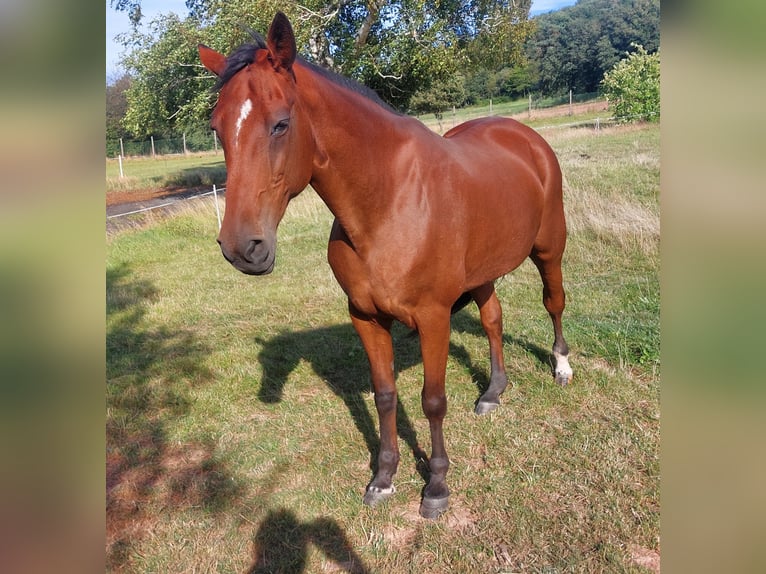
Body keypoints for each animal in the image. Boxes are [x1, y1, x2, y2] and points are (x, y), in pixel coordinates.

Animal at [201, 11, 572, 520]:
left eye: (280, 124)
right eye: (218, 129)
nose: (242, 247)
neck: (388, 200)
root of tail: (524, 136)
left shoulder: (434, 317)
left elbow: (432, 401)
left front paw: (436, 486)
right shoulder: (366, 317)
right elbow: (384, 397)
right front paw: (384, 478)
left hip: (549, 248)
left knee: (553, 302)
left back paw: (561, 367)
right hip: (482, 272)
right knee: (493, 319)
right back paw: (493, 392)